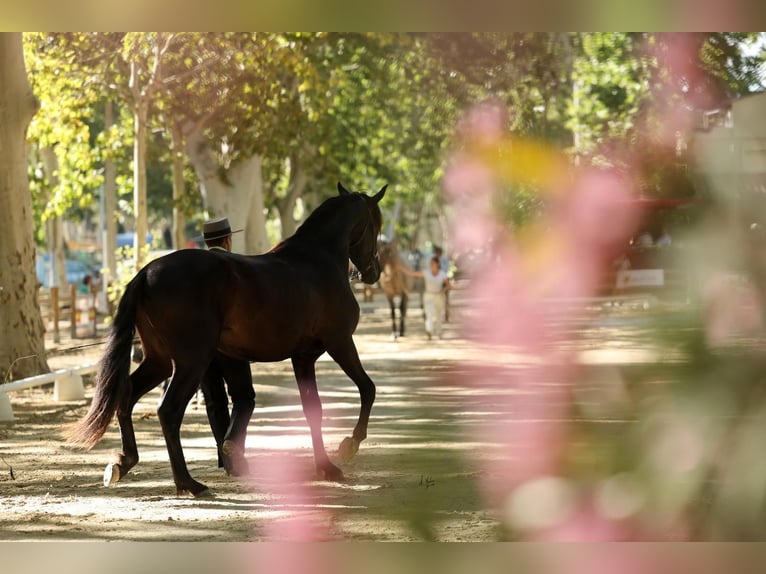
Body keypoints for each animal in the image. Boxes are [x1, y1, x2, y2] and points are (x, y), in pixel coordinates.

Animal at [64, 182, 390, 498]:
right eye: (376, 223)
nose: (373, 272)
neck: (316, 261)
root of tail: (146, 273)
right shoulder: (340, 343)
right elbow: (368, 389)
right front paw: (349, 445)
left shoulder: (303, 358)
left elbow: (314, 411)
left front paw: (325, 467)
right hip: (190, 362)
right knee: (168, 412)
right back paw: (188, 483)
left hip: (160, 361)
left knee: (127, 395)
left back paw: (124, 462)